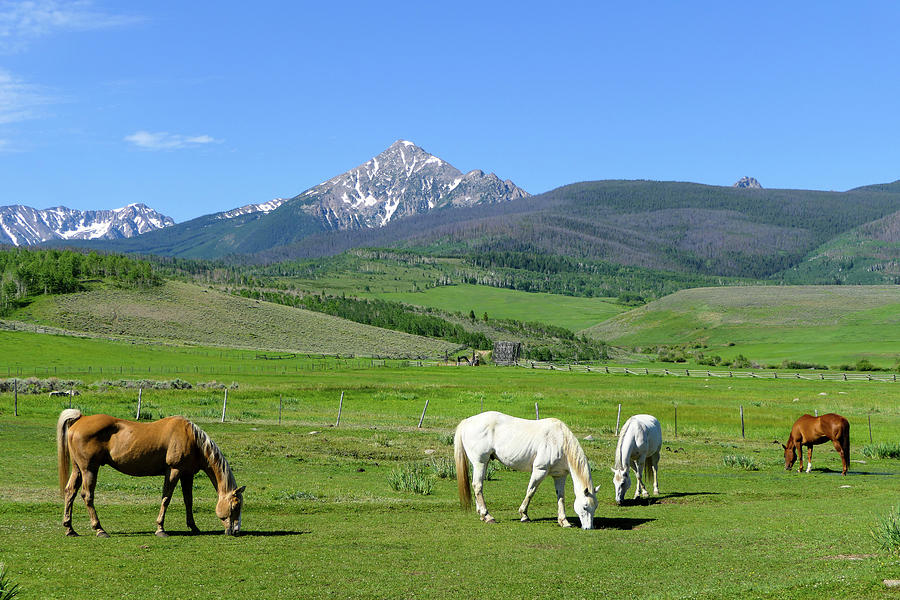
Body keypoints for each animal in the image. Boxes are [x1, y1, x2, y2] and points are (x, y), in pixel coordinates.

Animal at [58, 408, 244, 540]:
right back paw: (99, 529)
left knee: (70, 492)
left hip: (78, 469)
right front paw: (160, 529)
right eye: (235, 506)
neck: (192, 439)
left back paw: (70, 529)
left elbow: (188, 501)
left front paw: (193, 527)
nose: (236, 531)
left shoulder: (187, 474)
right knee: (87, 495)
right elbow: (166, 498)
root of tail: (81, 419)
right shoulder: (174, 471)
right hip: (89, 469)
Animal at [458, 410, 596, 528]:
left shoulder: (559, 475)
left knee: (478, 486)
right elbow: (530, 491)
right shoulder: (540, 471)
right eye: (585, 506)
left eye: (595, 507)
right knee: (477, 486)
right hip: (480, 463)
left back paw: (481, 514)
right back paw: (487, 516)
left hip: (483, 463)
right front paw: (524, 515)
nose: (588, 528)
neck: (559, 440)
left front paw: (564, 521)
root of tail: (467, 421)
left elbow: (561, 497)